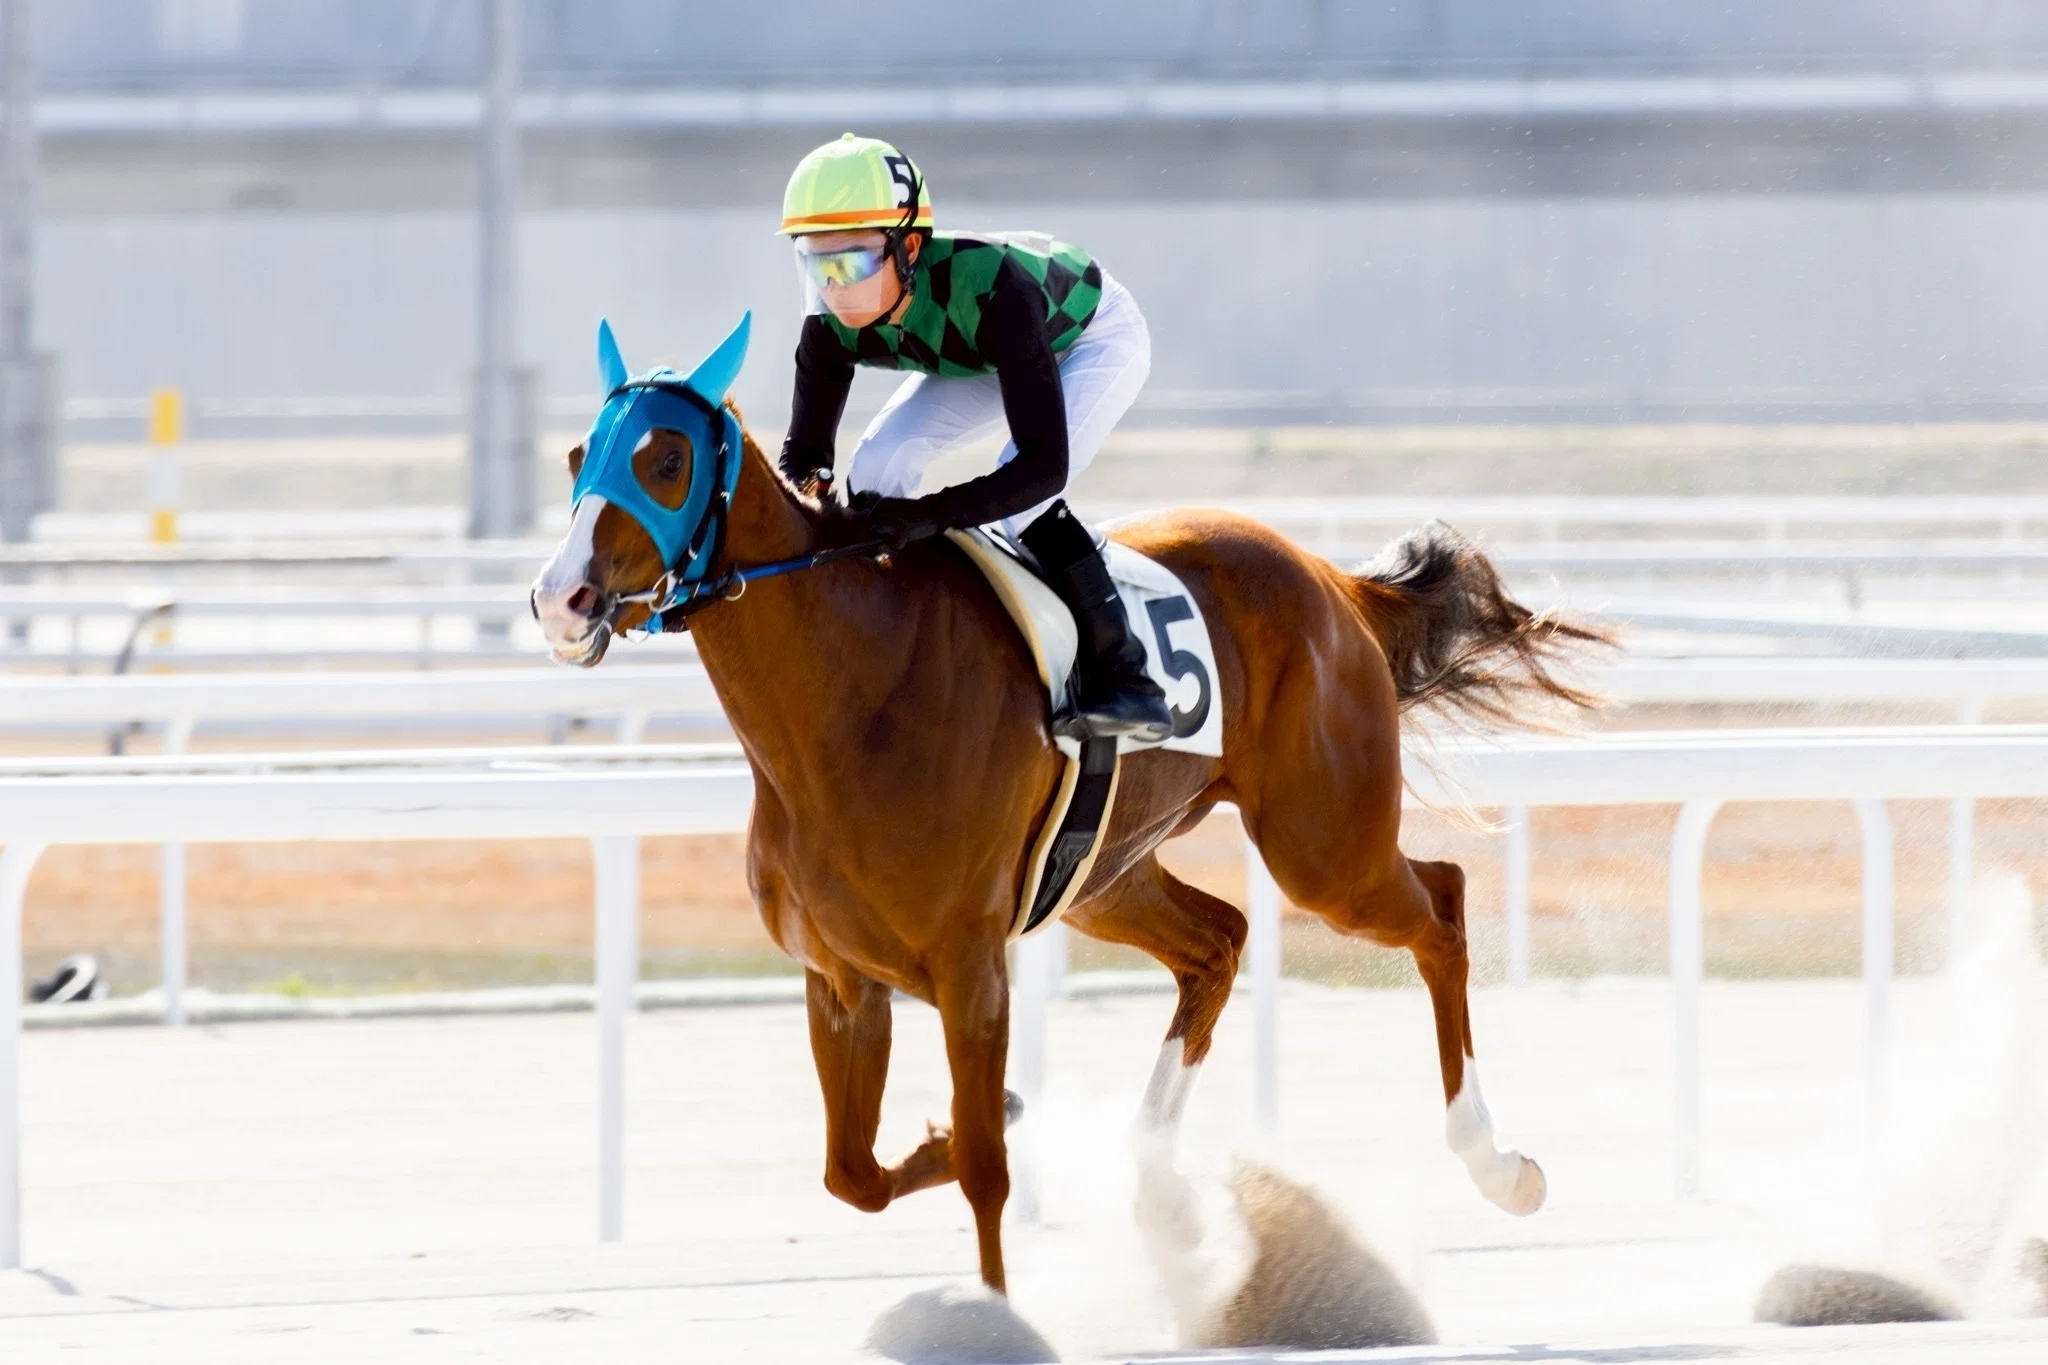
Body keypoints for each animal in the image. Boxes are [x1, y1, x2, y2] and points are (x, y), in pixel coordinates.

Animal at [530, 316, 1609, 1294]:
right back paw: (1165, 1195)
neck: (847, 697)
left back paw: (1498, 1164)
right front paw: (972, 1130)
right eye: (582, 454)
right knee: (1218, 941)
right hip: (1105, 872)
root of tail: (1330, 580)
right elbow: (854, 1173)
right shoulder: (841, 974)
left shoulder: (970, 967)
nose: (560, 599)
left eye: (667, 460)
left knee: (1440, 903)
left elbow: (982, 1172)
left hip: (1322, 846)